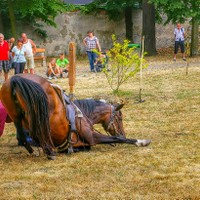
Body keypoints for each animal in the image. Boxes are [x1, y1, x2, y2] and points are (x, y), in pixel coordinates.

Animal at [0, 74, 150, 160]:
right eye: (120, 118)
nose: (123, 133)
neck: (82, 114)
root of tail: (15, 79)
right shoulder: (92, 137)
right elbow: (117, 139)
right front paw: (141, 141)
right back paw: (50, 153)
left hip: (16, 117)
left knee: (23, 137)